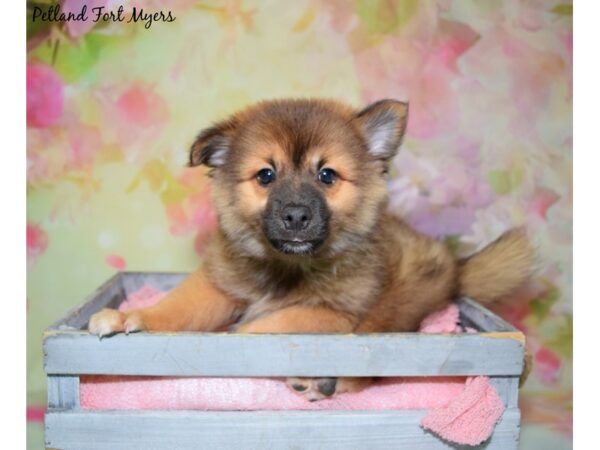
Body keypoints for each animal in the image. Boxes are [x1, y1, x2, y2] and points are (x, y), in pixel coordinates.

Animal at [88, 98, 528, 400]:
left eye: (326, 175)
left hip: (396, 304)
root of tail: (456, 267)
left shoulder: (330, 314)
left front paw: (232, 337)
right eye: (266, 175)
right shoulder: (219, 286)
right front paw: (131, 317)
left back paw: (323, 382)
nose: (297, 216)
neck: (287, 266)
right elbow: (177, 308)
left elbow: (262, 327)